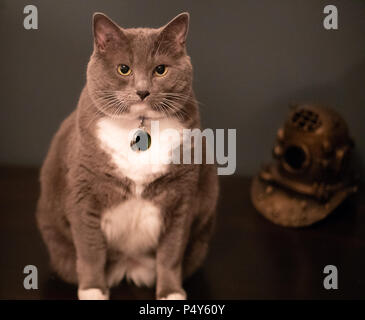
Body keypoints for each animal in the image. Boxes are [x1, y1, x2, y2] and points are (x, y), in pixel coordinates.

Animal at [36, 10, 218, 300]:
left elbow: (171, 252)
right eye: (124, 68)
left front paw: (171, 293)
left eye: (160, 69)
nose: (142, 91)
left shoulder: (182, 195)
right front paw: (93, 291)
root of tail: (128, 266)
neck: (139, 124)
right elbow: (90, 249)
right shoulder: (83, 190)